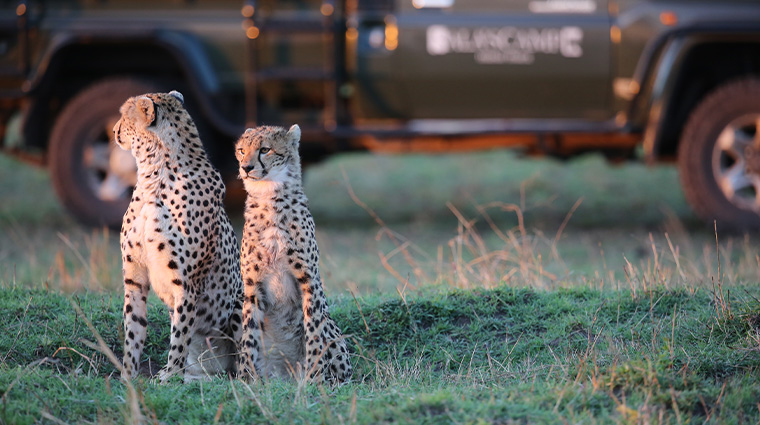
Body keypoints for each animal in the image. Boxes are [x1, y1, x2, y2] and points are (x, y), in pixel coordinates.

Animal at [114, 90, 244, 382]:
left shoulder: (187, 284)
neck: (154, 175)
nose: (114, 130)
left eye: (124, 116)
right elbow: (133, 329)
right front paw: (128, 375)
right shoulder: (134, 276)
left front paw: (170, 376)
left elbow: (181, 334)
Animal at [234, 124, 352, 384]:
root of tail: (286, 375)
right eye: (241, 150)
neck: (269, 197)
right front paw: (246, 380)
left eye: (265, 149)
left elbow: (314, 332)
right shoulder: (252, 285)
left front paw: (315, 379)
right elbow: (249, 337)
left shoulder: (309, 280)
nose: (245, 167)